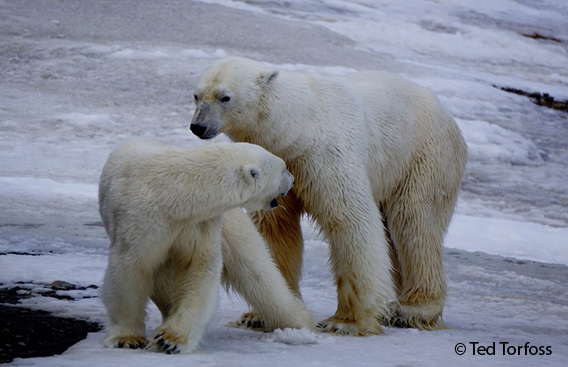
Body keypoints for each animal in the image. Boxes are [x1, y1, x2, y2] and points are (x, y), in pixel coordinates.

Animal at [97, 138, 310, 354]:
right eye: (283, 168)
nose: (293, 180)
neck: (175, 193)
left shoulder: (200, 223)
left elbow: (199, 266)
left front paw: (169, 339)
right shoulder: (141, 219)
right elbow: (130, 268)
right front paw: (127, 338)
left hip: (231, 225)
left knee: (257, 272)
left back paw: (299, 325)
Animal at [190, 56, 466, 334]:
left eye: (225, 97)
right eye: (196, 95)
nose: (198, 126)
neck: (299, 129)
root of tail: (448, 115)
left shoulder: (326, 157)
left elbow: (350, 219)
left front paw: (346, 321)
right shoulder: (278, 168)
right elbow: (273, 228)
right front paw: (257, 315)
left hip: (423, 158)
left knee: (414, 224)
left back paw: (412, 309)